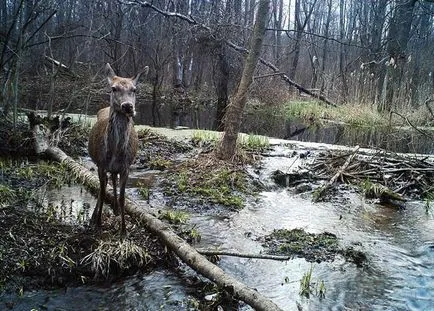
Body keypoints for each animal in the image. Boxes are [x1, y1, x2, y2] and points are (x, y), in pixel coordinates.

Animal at [88, 64, 149, 238]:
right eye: (113, 88)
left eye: (134, 89)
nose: (128, 106)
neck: (114, 152)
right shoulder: (101, 165)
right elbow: (102, 192)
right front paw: (98, 223)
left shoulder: (126, 167)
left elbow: (123, 198)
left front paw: (123, 231)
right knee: (104, 185)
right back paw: (94, 217)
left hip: (115, 169)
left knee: (113, 180)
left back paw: (114, 209)